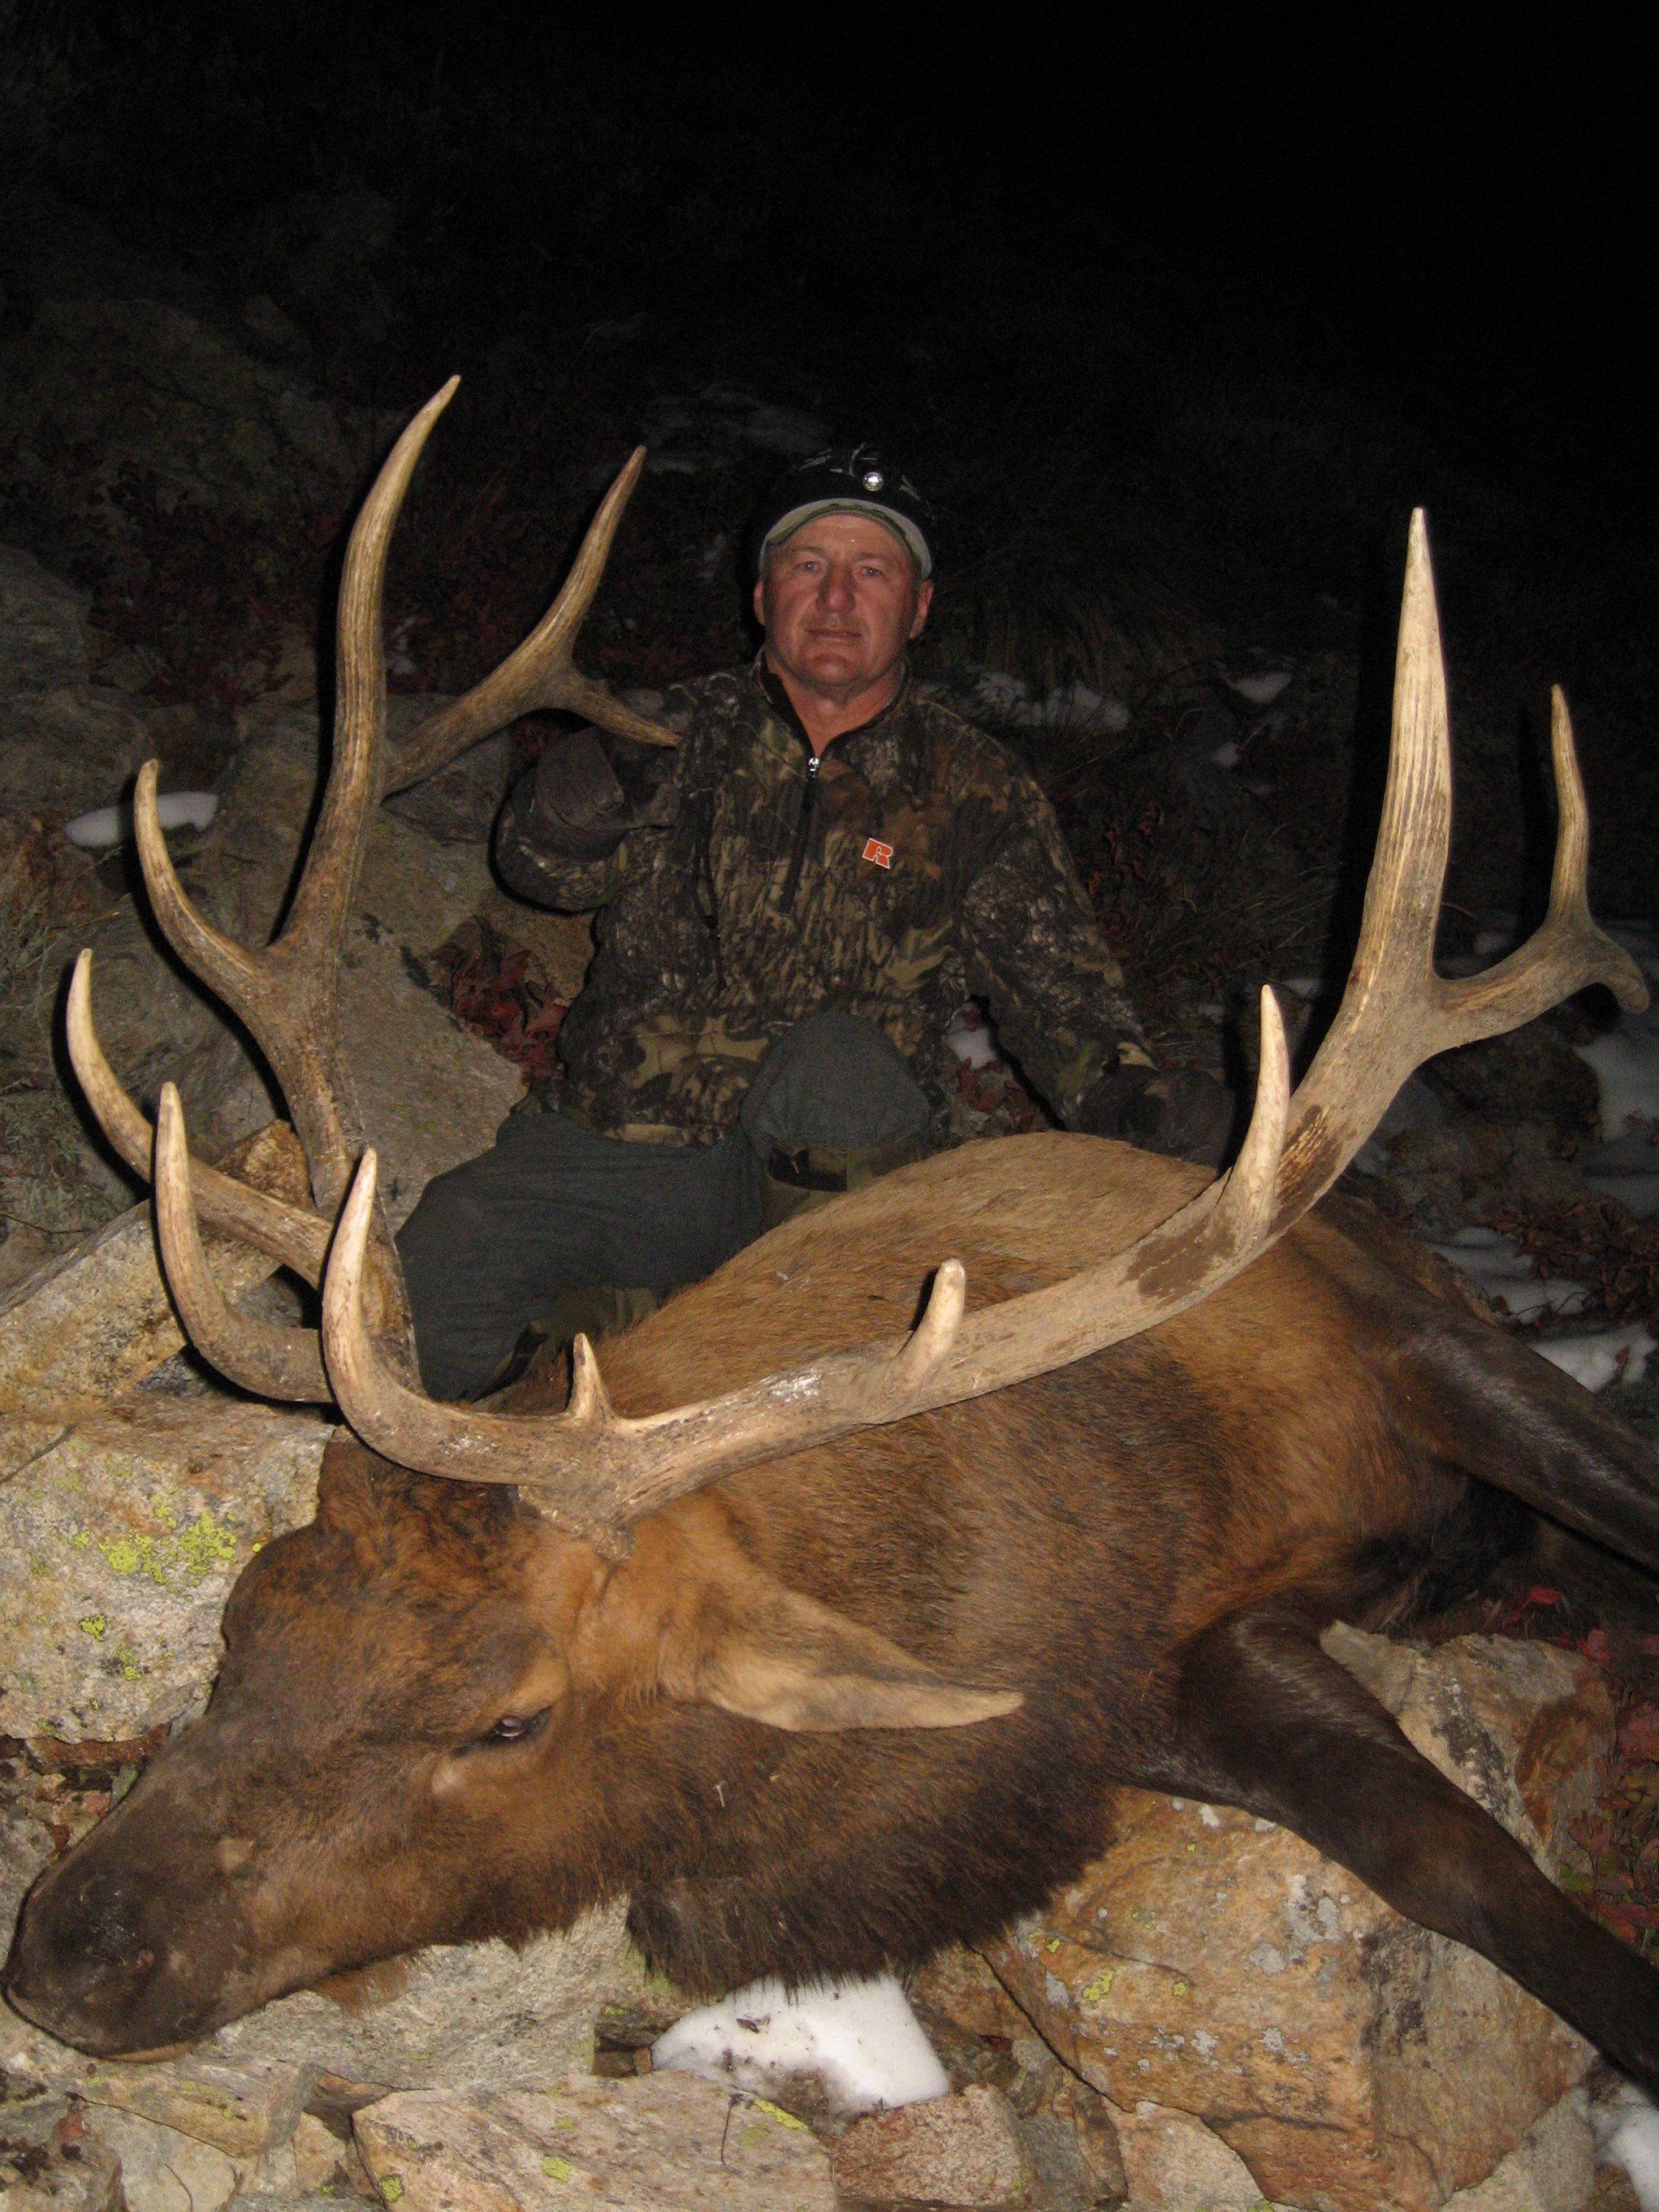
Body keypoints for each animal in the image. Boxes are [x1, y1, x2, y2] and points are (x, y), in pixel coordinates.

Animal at [6, 381, 1659, 2102]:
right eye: (249, 1612)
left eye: (509, 1722)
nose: (75, 1945)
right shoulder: (1158, 1685)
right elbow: (1440, 1854)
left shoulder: (1381, 1368)